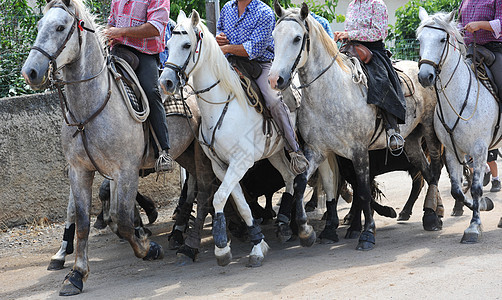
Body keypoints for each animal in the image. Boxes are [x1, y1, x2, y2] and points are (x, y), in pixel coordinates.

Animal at [158, 10, 326, 266]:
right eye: (167, 45)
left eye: (187, 45)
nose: (165, 82)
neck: (221, 106)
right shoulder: (222, 166)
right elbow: (241, 203)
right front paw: (257, 243)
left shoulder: (241, 162)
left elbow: (219, 198)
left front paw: (222, 247)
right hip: (275, 152)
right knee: (288, 177)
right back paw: (284, 224)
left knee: (306, 176)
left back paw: (306, 227)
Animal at [268, 2, 446, 251]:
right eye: (274, 36)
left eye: (297, 38)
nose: (276, 79)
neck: (330, 93)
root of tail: (424, 70)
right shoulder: (317, 150)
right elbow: (301, 184)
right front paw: (305, 231)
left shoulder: (358, 151)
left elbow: (363, 191)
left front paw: (367, 233)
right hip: (411, 140)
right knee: (427, 173)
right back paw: (430, 214)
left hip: (429, 130)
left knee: (436, 169)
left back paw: (434, 214)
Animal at [418, 8, 496, 244]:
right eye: (419, 40)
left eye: (442, 39)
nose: (424, 76)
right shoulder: (452, 152)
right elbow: (457, 191)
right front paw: (484, 205)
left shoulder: (479, 150)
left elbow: (477, 188)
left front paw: (474, 227)